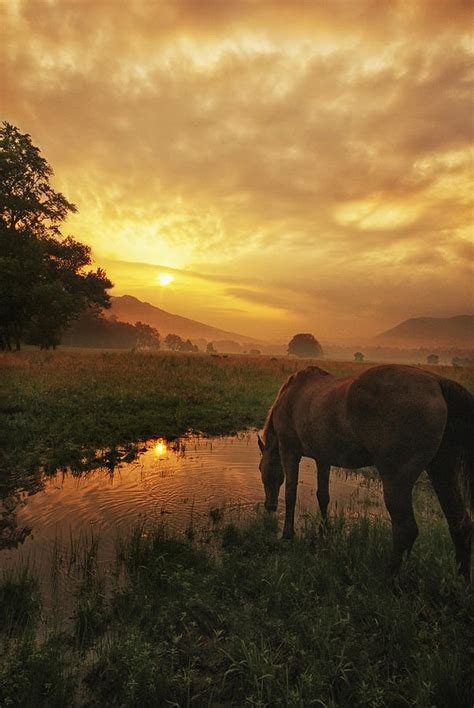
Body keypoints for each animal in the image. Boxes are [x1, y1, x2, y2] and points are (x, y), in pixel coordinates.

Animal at [260, 366, 474, 580]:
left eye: (261, 469)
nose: (269, 506)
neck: (292, 395)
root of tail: (436, 382)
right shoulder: (323, 458)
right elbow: (323, 497)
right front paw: (325, 530)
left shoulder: (289, 451)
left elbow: (291, 494)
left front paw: (287, 534)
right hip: (441, 471)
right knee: (459, 524)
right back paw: (461, 578)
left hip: (397, 480)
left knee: (406, 529)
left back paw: (388, 576)